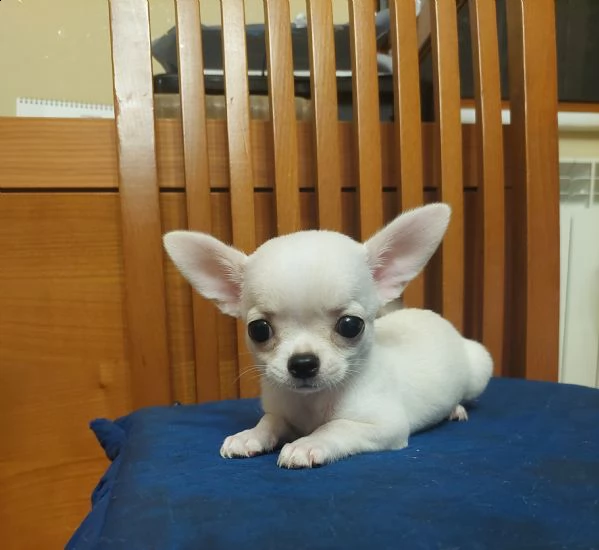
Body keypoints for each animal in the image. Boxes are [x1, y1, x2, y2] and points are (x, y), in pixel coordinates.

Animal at [163, 203, 493, 468]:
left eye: (350, 325)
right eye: (259, 330)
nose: (303, 363)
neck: (312, 402)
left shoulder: (385, 425)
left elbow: (337, 427)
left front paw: (308, 443)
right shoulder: (281, 413)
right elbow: (270, 420)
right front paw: (250, 436)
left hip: (479, 367)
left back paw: (456, 408)